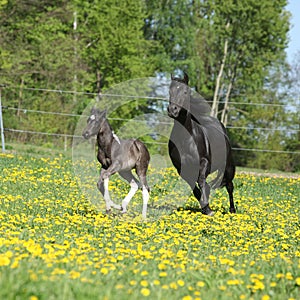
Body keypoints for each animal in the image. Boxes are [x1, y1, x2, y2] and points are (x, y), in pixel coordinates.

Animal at [168, 73, 236, 216]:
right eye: (169, 91)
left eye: (185, 91)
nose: (172, 110)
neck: (186, 139)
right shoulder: (181, 168)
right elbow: (194, 188)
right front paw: (205, 207)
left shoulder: (204, 162)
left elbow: (201, 181)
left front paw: (208, 210)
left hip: (228, 167)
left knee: (229, 186)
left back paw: (232, 210)